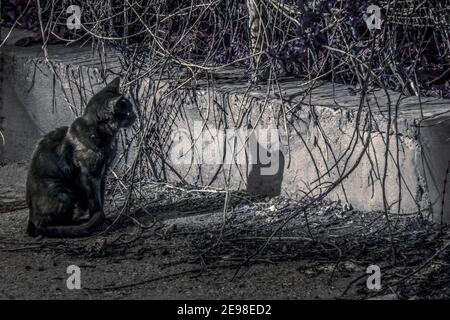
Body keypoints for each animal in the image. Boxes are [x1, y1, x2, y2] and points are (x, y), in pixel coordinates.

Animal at [25, 77, 135, 238]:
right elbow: (95, 201)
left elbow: (101, 197)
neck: (105, 137)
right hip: (62, 191)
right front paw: (99, 221)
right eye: (127, 111)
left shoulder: (103, 174)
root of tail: (32, 218)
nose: (135, 115)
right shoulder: (89, 175)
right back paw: (78, 225)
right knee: (48, 224)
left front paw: (104, 218)